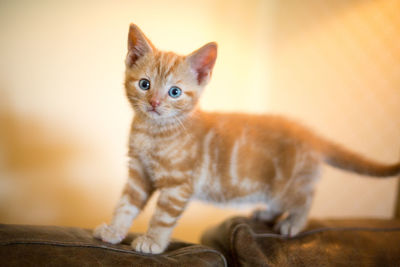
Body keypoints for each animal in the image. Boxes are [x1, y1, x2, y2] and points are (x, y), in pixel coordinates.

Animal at [93, 24, 400, 254]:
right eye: (144, 84)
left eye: (175, 92)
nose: (155, 103)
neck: (154, 132)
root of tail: (310, 133)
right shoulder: (139, 174)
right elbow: (126, 204)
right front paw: (114, 230)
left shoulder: (178, 185)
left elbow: (162, 216)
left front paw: (153, 241)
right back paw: (267, 215)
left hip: (288, 183)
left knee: (305, 197)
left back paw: (294, 223)